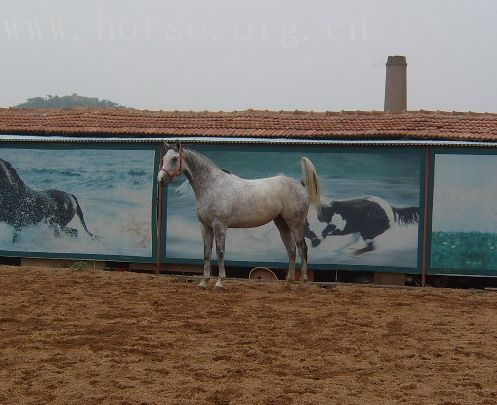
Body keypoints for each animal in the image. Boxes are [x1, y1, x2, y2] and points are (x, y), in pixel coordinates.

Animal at [158, 141, 322, 288]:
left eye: (174, 159)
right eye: (163, 158)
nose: (161, 180)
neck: (212, 186)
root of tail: (300, 185)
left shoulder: (219, 226)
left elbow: (220, 251)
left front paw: (219, 282)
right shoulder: (205, 226)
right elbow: (206, 252)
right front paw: (203, 282)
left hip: (296, 224)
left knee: (302, 248)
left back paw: (303, 282)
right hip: (282, 224)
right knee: (291, 249)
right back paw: (288, 282)